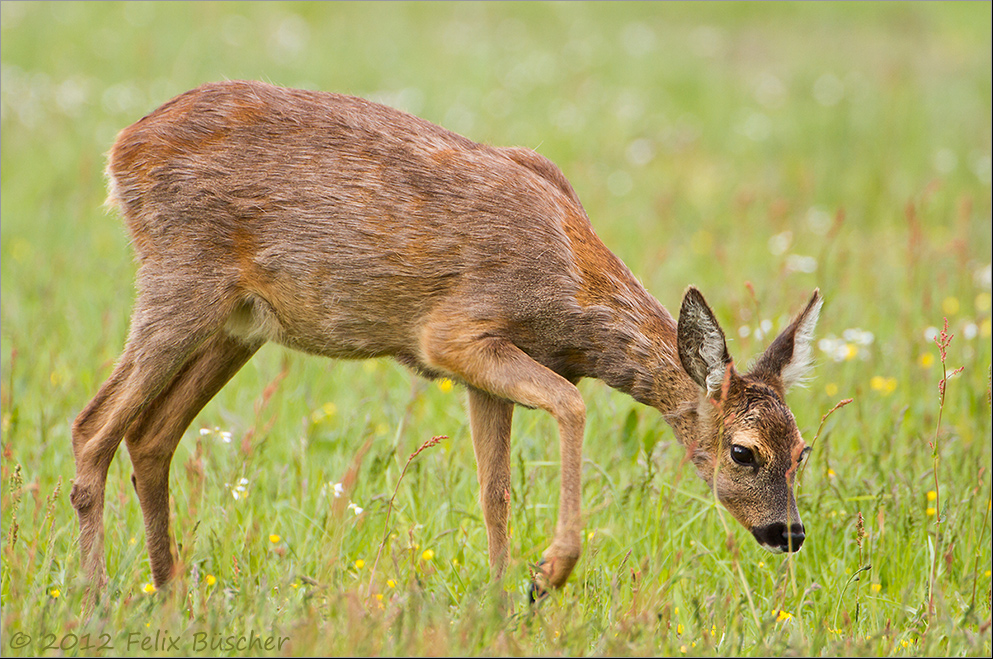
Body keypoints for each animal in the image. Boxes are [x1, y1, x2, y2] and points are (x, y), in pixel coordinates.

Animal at [70, 80, 820, 600]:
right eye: (742, 451)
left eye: (802, 450)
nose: (789, 532)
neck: (570, 291)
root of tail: (121, 149)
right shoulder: (453, 336)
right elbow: (570, 407)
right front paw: (547, 575)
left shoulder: (484, 374)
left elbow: (495, 491)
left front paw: (500, 601)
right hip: (180, 282)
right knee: (92, 426)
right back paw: (98, 602)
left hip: (240, 323)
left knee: (151, 436)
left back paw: (170, 595)